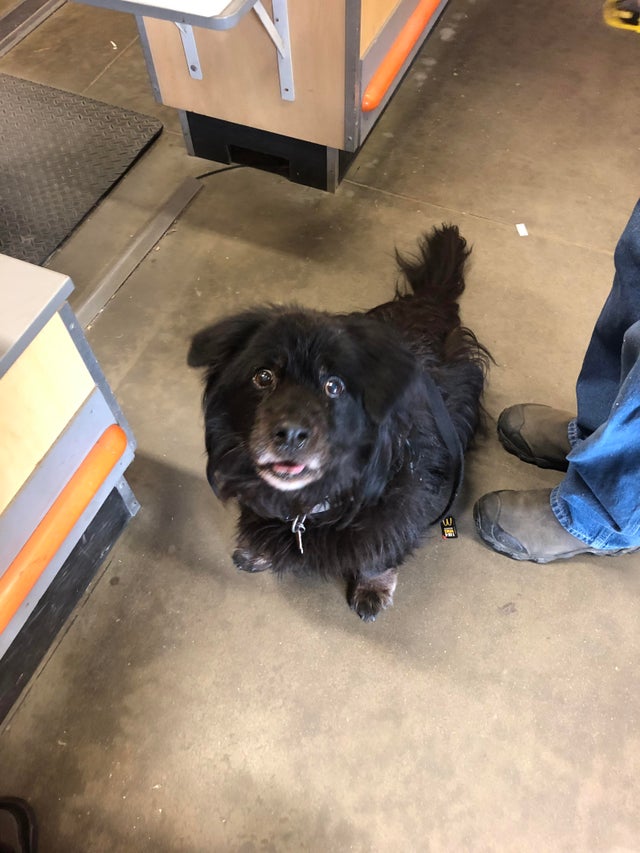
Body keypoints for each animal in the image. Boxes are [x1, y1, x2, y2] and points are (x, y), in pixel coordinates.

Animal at [188, 223, 488, 624]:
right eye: (263, 377)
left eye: (334, 386)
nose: (290, 434)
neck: (311, 503)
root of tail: (428, 300)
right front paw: (257, 549)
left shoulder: (394, 509)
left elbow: (378, 552)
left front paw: (372, 588)